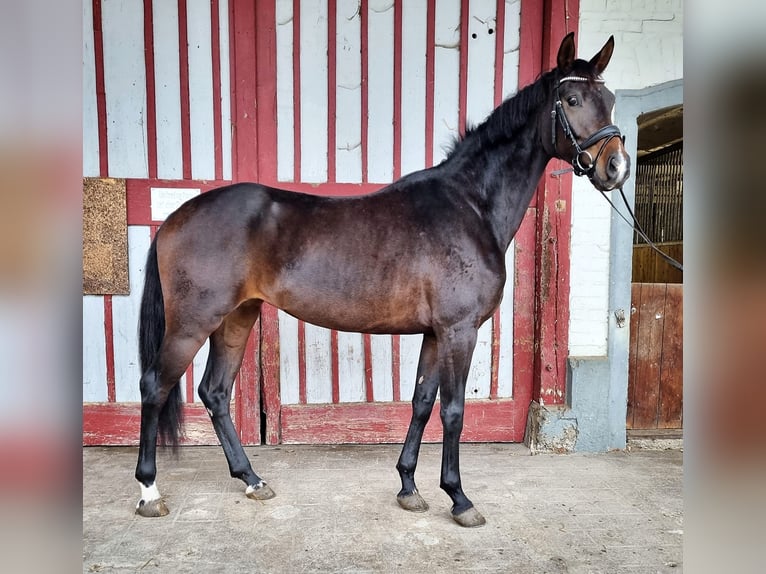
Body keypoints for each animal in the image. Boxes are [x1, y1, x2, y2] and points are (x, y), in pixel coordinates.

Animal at [136, 30, 632, 528]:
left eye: (609, 100)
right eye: (571, 99)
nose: (617, 167)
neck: (471, 206)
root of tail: (176, 217)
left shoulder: (434, 334)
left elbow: (422, 402)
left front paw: (409, 486)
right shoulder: (459, 332)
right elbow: (453, 411)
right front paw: (459, 497)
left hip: (237, 319)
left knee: (215, 392)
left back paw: (252, 479)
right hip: (192, 323)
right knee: (154, 386)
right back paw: (149, 491)